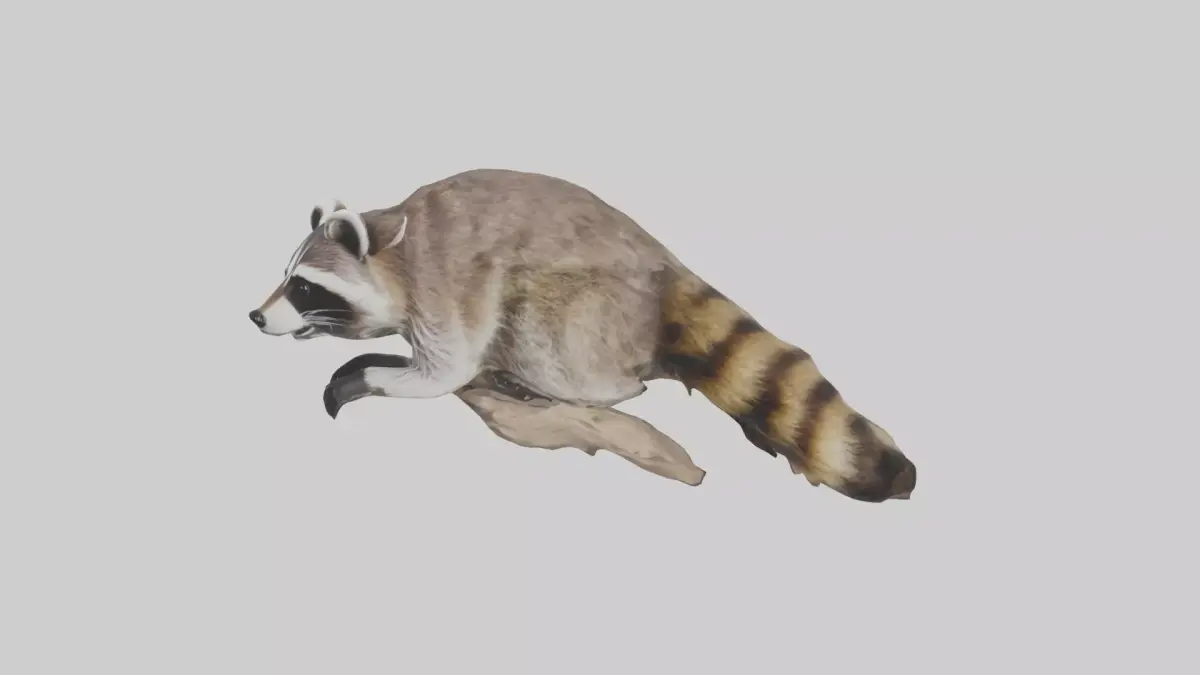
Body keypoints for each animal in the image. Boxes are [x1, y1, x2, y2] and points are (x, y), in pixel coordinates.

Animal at [249, 168, 916, 502]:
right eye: (285, 278)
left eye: (303, 287)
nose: (255, 318)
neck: (391, 245)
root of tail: (665, 269)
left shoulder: (448, 282)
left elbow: (445, 370)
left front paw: (372, 373)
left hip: (588, 311)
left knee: (544, 330)